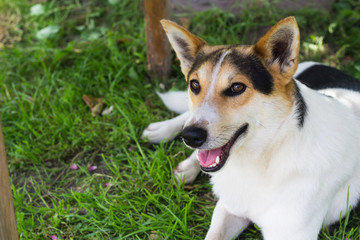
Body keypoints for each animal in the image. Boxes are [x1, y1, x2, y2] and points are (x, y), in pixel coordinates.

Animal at [141, 15, 360, 239]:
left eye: (237, 87)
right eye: (194, 85)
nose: (190, 137)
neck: (262, 158)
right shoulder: (228, 208)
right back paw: (166, 138)